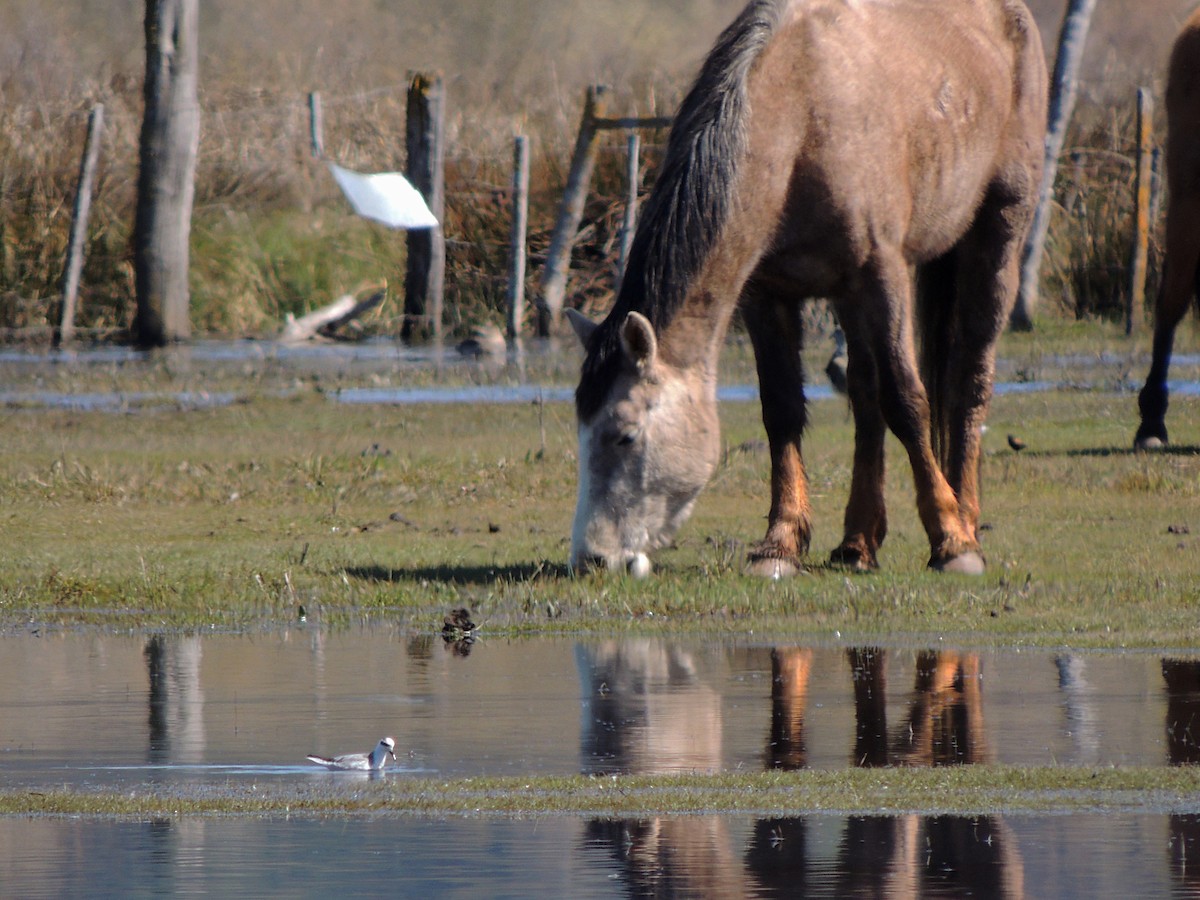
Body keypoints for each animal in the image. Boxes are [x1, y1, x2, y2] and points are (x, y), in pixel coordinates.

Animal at [566, 0, 1046, 578]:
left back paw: (966, 520)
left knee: (968, 378)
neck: (798, 121)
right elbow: (783, 408)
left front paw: (951, 540)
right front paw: (780, 544)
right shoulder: (767, 295)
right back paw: (857, 542)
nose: (591, 557)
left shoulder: (883, 276)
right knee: (864, 392)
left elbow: (909, 401)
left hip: (997, 235)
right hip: (849, 297)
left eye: (626, 435)